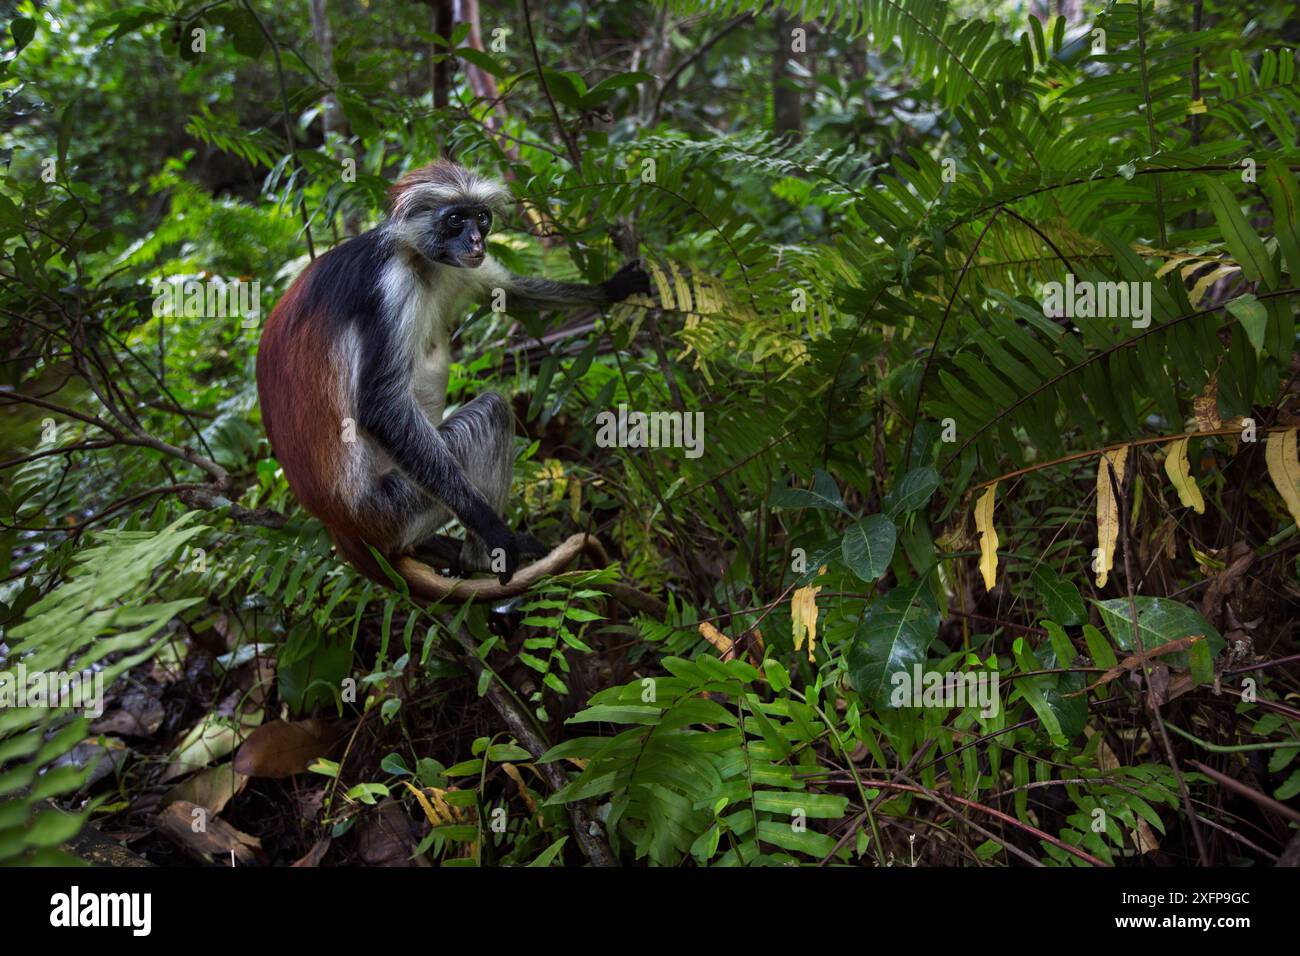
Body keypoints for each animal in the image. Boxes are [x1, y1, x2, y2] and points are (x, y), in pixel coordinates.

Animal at [256, 158, 650, 590]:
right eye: (455, 219)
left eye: (481, 217)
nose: (476, 242)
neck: (414, 256)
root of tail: (344, 528)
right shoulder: (391, 286)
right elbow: (381, 408)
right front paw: (493, 529)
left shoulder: (455, 266)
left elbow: (512, 292)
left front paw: (612, 287)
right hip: (396, 503)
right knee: (492, 411)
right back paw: (481, 559)